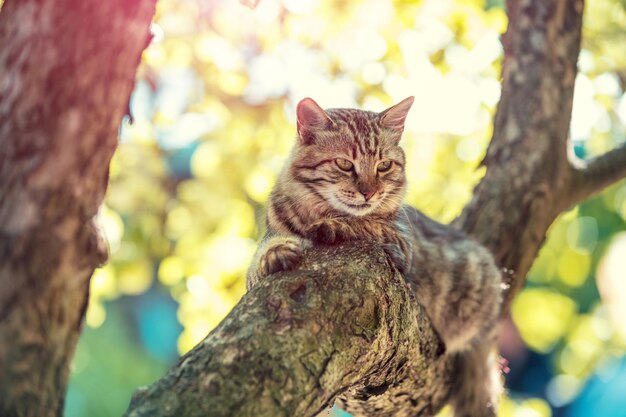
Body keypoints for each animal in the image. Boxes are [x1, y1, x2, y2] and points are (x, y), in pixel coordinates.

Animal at [245, 96, 502, 416]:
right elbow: (261, 256)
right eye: (344, 164)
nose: (369, 192)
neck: (315, 212)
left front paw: (333, 226)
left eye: (384, 166)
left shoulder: (401, 243)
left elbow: (364, 225)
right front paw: (277, 253)